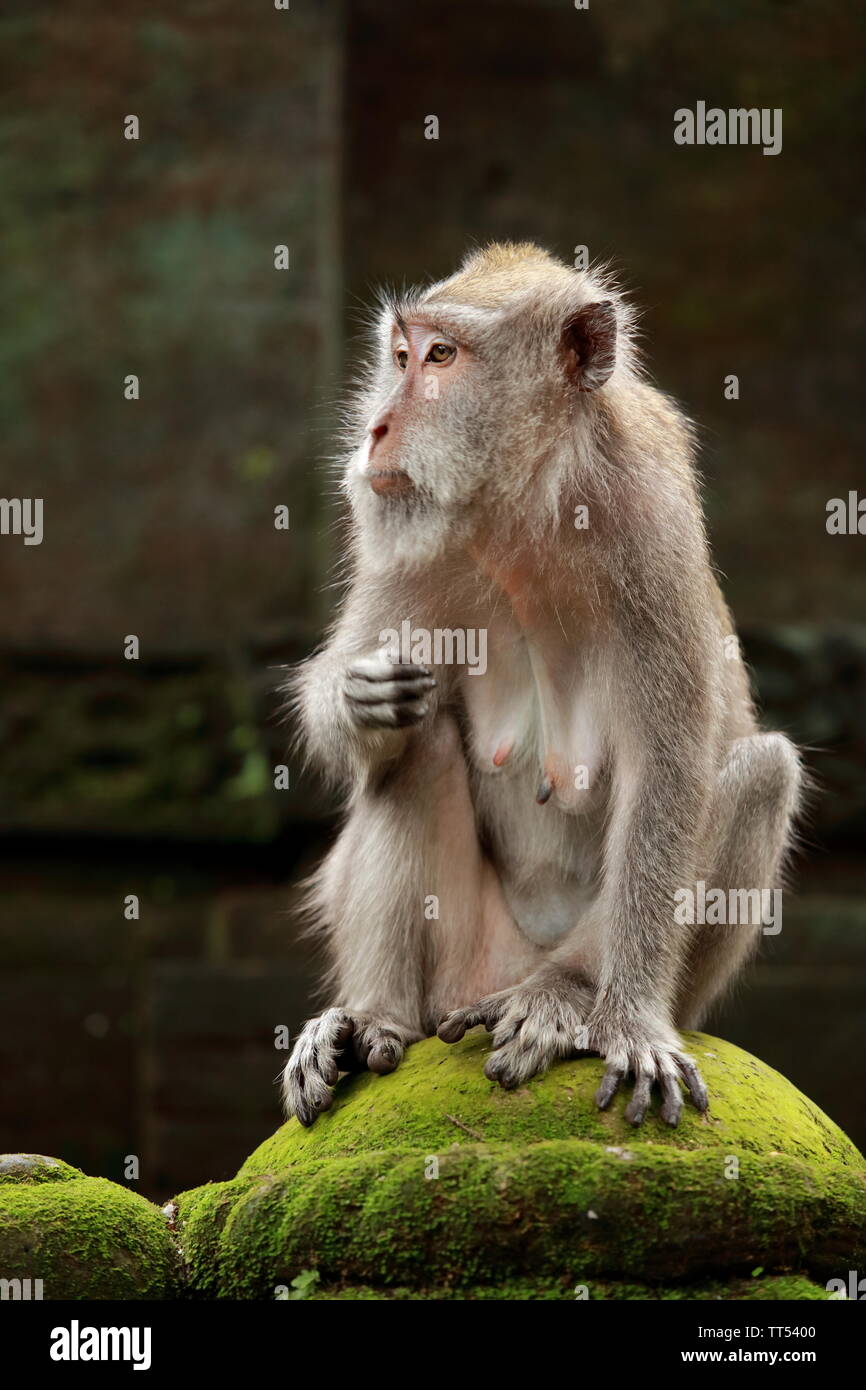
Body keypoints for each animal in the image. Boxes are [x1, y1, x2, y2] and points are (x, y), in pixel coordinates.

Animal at [281, 242, 802, 1129]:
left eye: (442, 356)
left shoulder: (651, 532)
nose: (378, 427)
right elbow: (356, 693)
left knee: (760, 773)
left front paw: (628, 1022)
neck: (526, 511)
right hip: (466, 960)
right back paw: (376, 1019)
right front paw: (357, 697)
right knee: (412, 747)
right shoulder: (404, 548)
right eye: (399, 356)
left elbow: (666, 778)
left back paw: (561, 998)